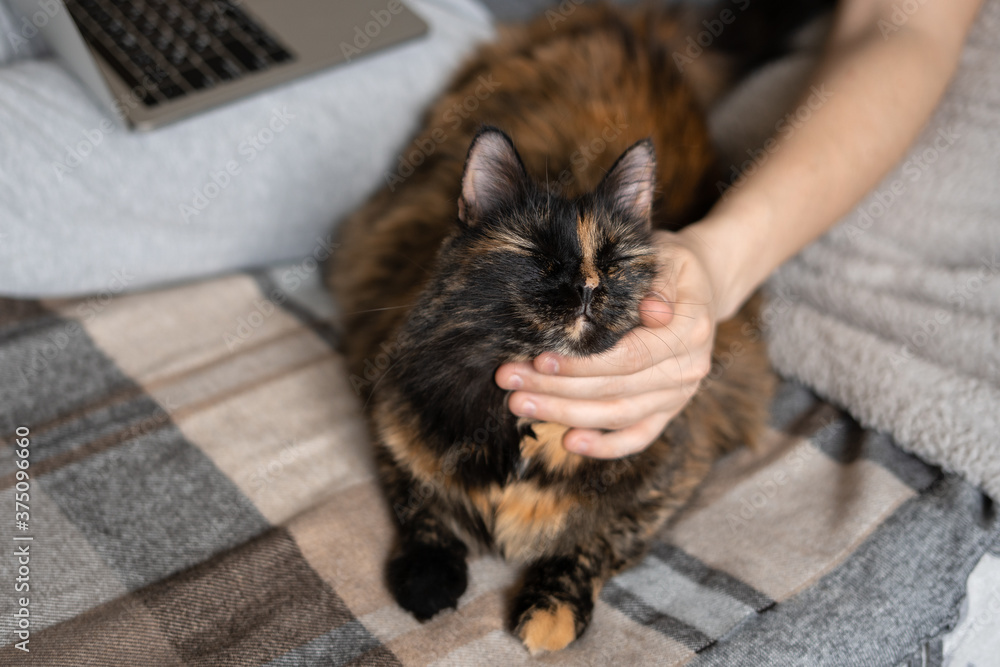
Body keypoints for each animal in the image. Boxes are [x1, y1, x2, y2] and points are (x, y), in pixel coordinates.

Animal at [332, 1, 784, 656]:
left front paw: (550, 611)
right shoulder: (390, 408)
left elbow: (595, 543)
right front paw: (428, 582)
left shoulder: (674, 466)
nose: (591, 289)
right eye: (545, 261)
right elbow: (419, 505)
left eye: (615, 263)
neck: (527, 435)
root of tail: (638, 25)